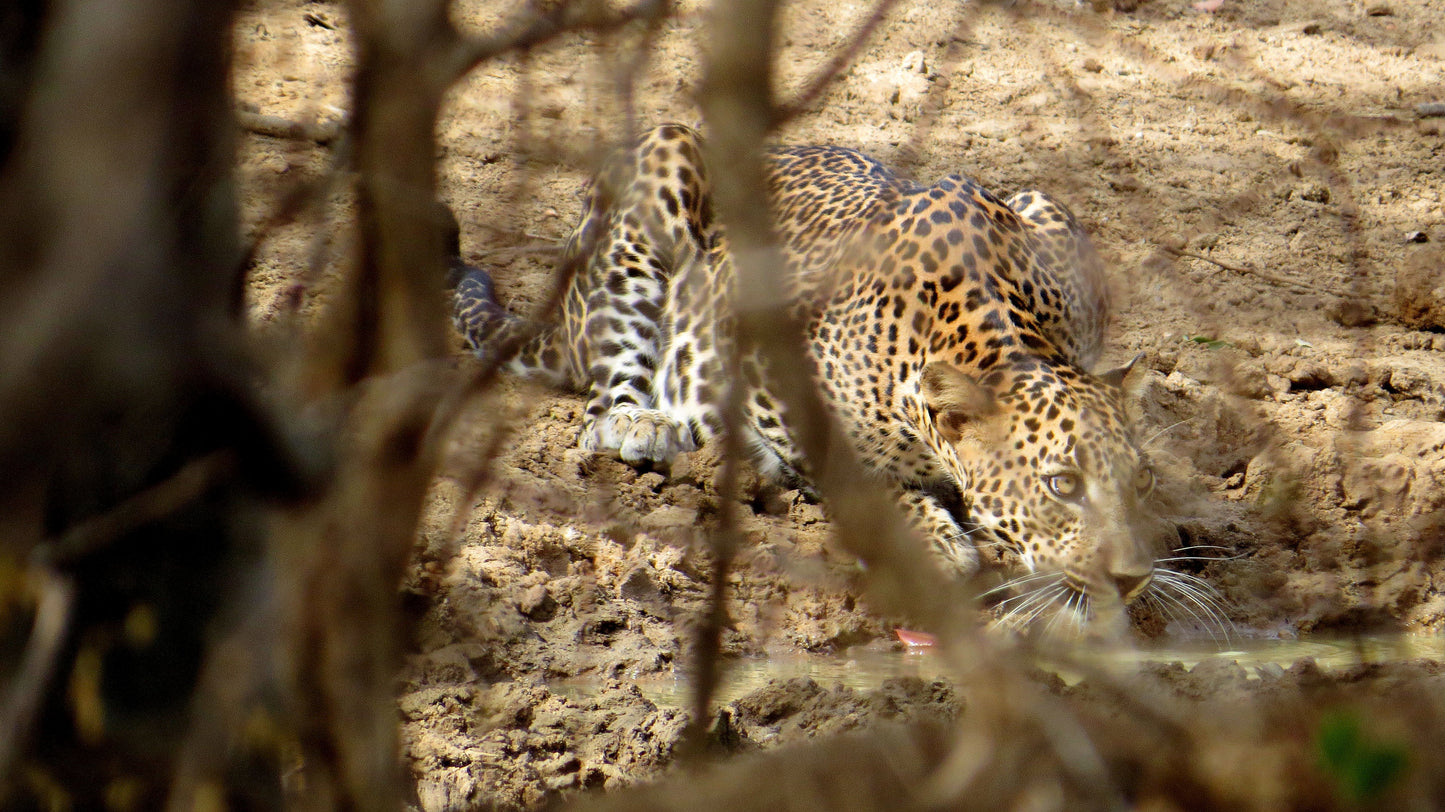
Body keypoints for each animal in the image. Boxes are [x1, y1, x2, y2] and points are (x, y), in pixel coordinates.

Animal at [447, 123, 1208, 629]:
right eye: (1061, 485)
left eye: (1141, 479)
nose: (1131, 579)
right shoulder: (768, 374)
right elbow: (861, 479)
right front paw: (937, 541)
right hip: (659, 162)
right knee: (601, 409)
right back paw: (649, 424)